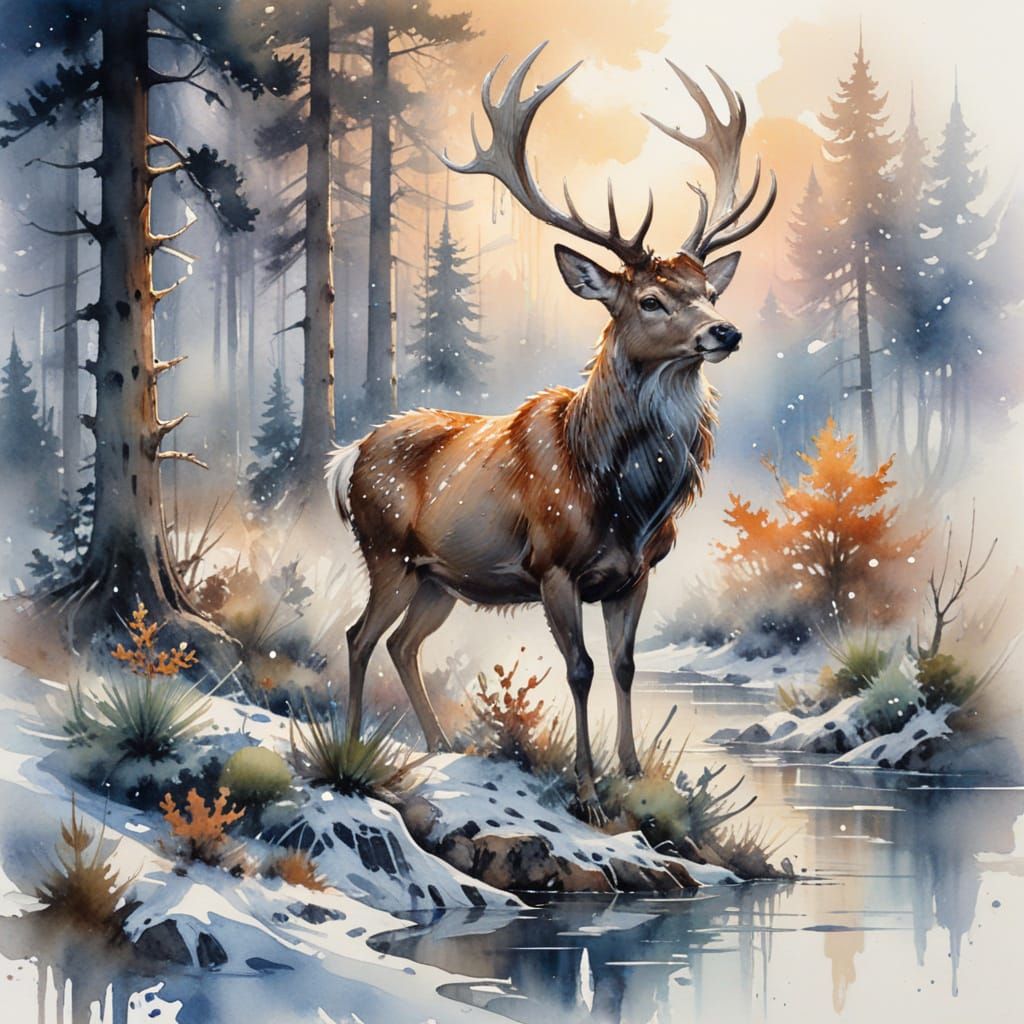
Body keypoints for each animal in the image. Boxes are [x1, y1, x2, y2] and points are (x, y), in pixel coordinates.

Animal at [326, 43, 776, 823]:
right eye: (650, 299)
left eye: (708, 291)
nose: (725, 331)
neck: (624, 497)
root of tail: (347, 455)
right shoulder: (552, 566)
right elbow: (581, 668)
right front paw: (589, 791)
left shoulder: (636, 573)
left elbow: (625, 665)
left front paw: (634, 775)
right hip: (386, 551)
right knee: (358, 637)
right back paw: (354, 748)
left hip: (439, 578)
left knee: (403, 644)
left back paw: (443, 744)